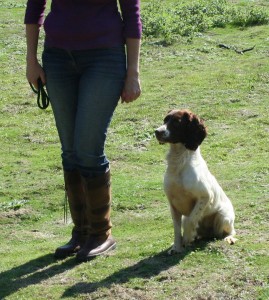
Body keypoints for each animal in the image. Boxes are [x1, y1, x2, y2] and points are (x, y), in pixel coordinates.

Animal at [154, 109, 236, 254]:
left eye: (176, 122)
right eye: (165, 120)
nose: (157, 131)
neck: (179, 163)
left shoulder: (206, 195)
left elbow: (190, 220)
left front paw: (187, 238)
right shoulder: (173, 204)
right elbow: (177, 229)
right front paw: (177, 247)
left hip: (223, 216)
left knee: (230, 231)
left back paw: (229, 238)